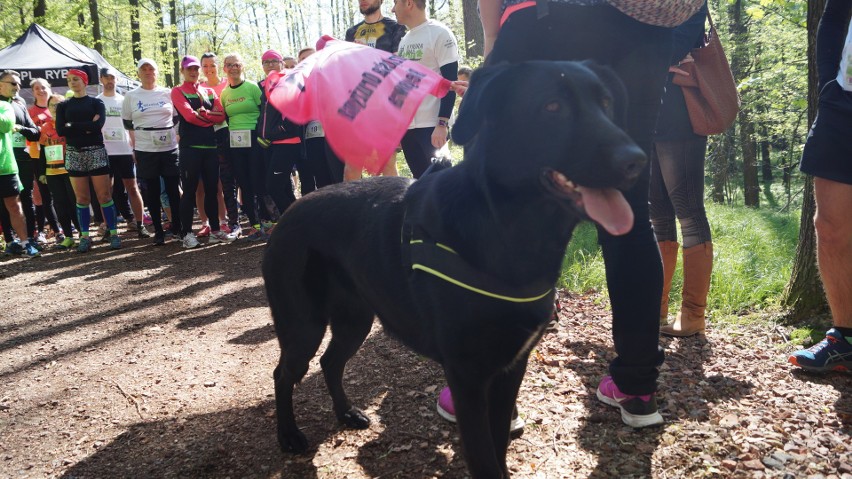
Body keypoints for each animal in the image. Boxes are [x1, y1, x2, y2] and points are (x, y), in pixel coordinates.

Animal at [262, 61, 644, 479]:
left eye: (606, 104)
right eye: (552, 106)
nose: (637, 161)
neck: (507, 231)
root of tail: (287, 214)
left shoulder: (510, 369)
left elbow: (499, 444)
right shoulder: (468, 377)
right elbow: (483, 457)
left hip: (355, 320)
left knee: (330, 362)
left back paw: (346, 413)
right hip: (304, 325)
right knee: (284, 373)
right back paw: (288, 435)